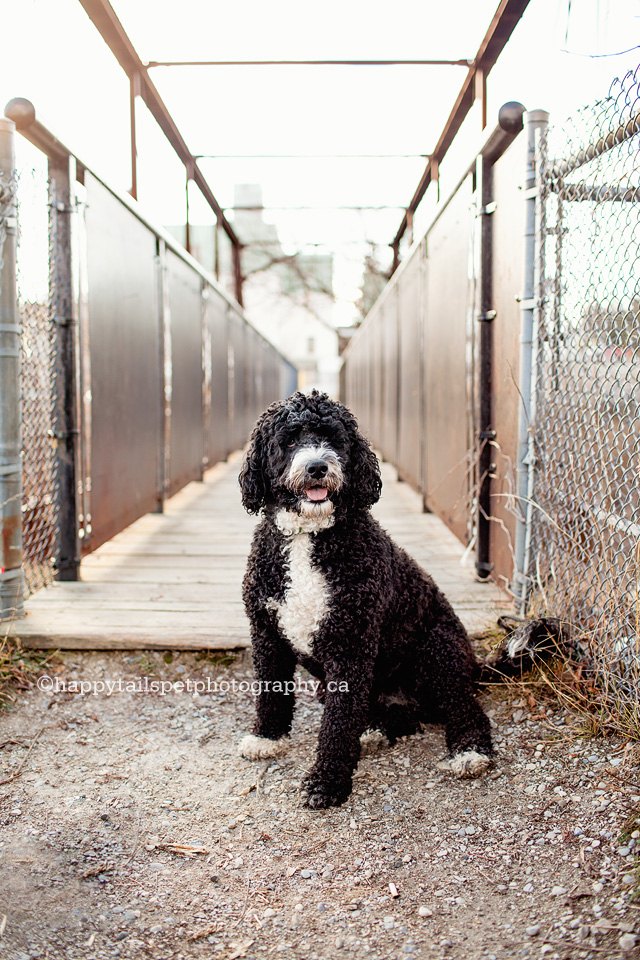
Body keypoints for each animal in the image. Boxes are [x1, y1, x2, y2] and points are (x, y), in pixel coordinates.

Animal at [238, 394, 502, 808]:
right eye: (290, 439)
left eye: (334, 438)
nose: (317, 466)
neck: (308, 538)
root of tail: (475, 665)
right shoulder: (267, 633)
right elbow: (271, 692)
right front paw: (267, 737)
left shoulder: (350, 642)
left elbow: (337, 724)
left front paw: (327, 782)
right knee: (395, 716)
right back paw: (374, 729)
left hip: (437, 650)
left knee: (466, 709)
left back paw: (469, 751)